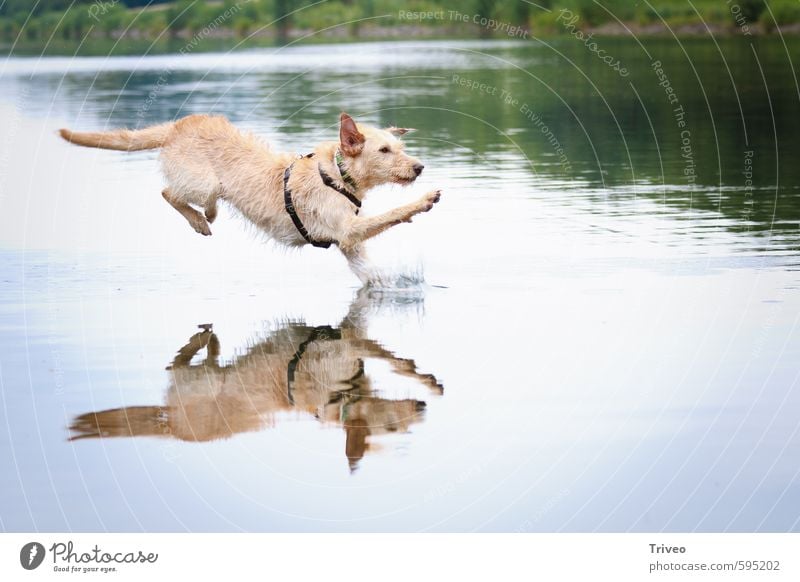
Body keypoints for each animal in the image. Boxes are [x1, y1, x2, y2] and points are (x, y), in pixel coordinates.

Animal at [58, 113, 440, 282]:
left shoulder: (352, 248)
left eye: (400, 148)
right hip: (204, 182)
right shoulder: (347, 231)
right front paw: (422, 201)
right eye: (384, 151)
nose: (419, 167)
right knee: (169, 192)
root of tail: (179, 125)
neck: (337, 175)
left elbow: (371, 276)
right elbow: (391, 214)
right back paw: (202, 219)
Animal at [69, 290, 444, 472]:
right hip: (199, 382)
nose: (422, 407)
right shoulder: (342, 347)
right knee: (180, 363)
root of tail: (171, 425)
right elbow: (380, 350)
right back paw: (205, 341)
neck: (339, 403)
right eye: (393, 427)